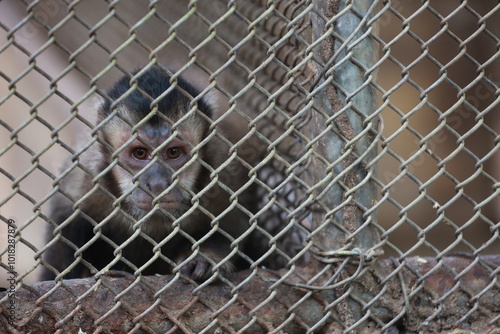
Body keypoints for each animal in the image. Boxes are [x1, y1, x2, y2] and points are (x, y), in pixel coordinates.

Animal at [41, 65, 250, 282]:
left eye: (173, 152)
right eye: (140, 153)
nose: (158, 184)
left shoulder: (222, 166)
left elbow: (233, 225)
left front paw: (204, 258)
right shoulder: (84, 173)